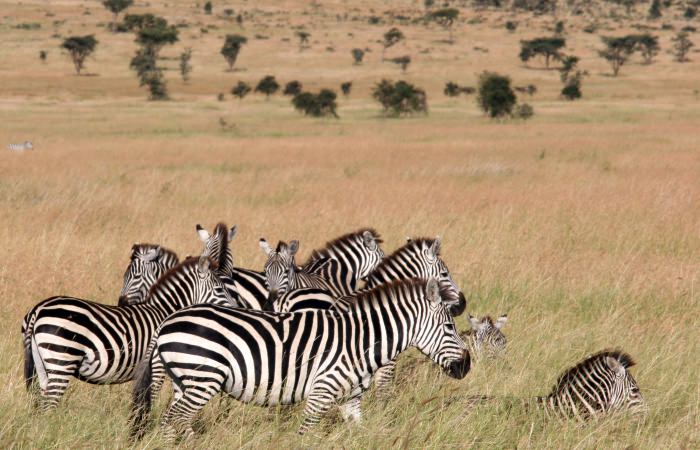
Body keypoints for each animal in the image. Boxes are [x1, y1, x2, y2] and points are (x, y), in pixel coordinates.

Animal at [22, 256, 240, 410]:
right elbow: (150, 398)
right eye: (220, 290)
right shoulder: (157, 366)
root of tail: (38, 309)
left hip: (42, 364)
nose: (238, 310)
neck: (165, 311)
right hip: (62, 358)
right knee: (49, 404)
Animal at [129, 278, 470, 440]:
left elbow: (360, 431)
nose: (466, 367)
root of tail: (166, 322)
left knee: (175, 421)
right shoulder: (322, 391)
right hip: (203, 378)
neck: (359, 343)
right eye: (449, 327)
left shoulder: (351, 400)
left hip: (184, 381)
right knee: (173, 419)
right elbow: (305, 433)